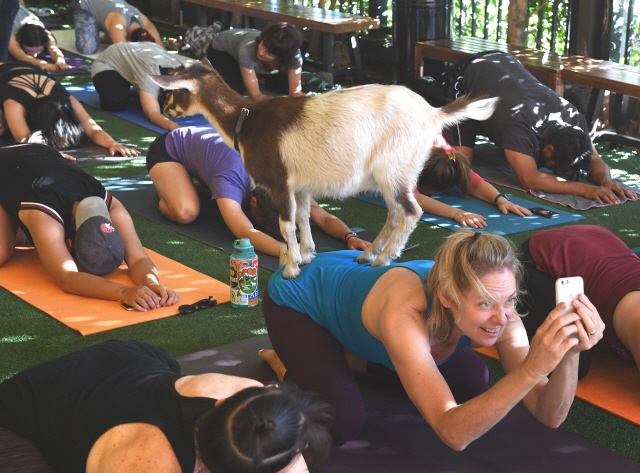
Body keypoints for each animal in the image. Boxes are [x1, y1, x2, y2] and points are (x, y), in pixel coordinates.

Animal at [149, 62, 496, 276]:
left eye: (174, 89)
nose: (166, 110)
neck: (245, 121)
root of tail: (433, 114)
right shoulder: (300, 185)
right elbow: (303, 218)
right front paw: (306, 255)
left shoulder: (279, 181)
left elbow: (286, 223)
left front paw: (290, 268)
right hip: (400, 173)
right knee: (396, 213)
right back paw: (368, 254)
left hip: (393, 168)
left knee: (411, 212)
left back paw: (382, 259)